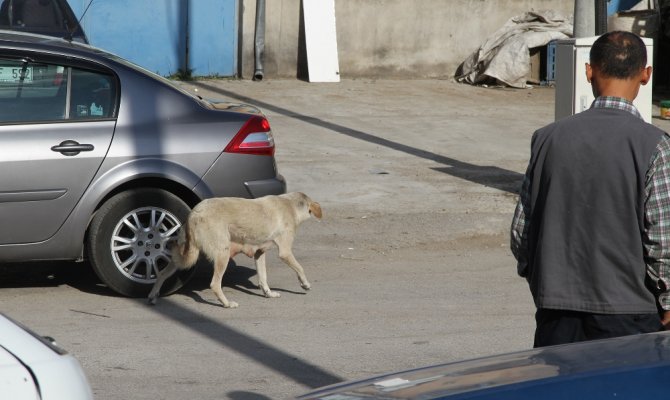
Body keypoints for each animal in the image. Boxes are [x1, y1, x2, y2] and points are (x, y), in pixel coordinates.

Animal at [148, 192, 326, 308]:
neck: (290, 204)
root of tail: (194, 213)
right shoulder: (285, 252)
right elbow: (300, 268)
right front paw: (305, 284)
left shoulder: (259, 253)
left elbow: (263, 277)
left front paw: (268, 293)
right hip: (223, 254)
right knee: (215, 284)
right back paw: (227, 304)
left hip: (181, 256)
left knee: (162, 273)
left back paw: (153, 295)